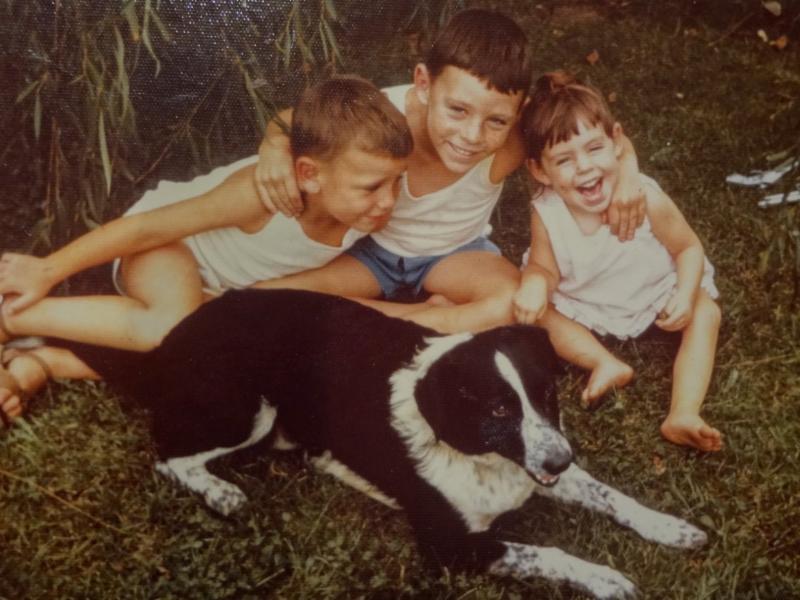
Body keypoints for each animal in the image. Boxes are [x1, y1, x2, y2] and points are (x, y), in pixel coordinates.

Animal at [65, 288, 708, 596]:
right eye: (498, 406)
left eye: (545, 393)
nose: (561, 455)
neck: (477, 455)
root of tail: (163, 348)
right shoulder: (451, 548)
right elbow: (550, 553)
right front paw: (607, 579)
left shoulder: (541, 463)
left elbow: (612, 496)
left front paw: (670, 528)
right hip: (245, 408)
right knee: (168, 454)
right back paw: (220, 492)